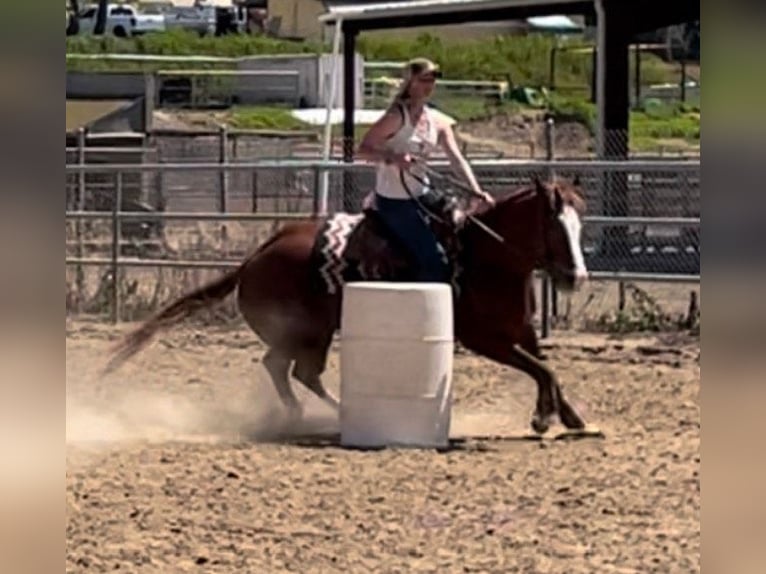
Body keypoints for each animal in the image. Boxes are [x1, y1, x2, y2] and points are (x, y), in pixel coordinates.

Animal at [103, 176, 590, 436]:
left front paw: (569, 415)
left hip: (303, 333)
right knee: (294, 370)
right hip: (309, 331)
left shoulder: (521, 331)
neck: (486, 256)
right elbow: (541, 368)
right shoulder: (484, 339)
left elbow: (546, 365)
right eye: (554, 224)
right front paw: (543, 418)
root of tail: (253, 259)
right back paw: (327, 414)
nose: (576, 276)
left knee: (285, 367)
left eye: (579, 224)